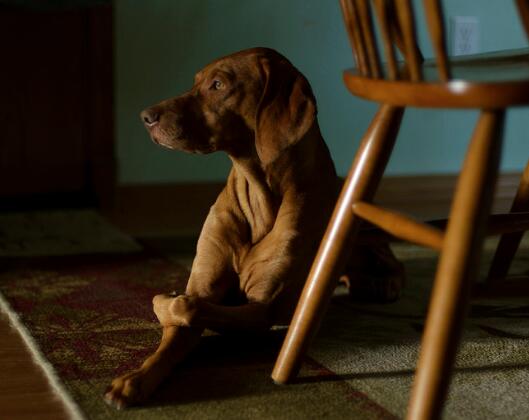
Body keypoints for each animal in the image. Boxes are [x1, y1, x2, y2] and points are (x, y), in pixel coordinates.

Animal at [104, 47, 404, 408]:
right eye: (197, 82)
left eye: (218, 85)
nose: (146, 117)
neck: (259, 193)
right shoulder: (205, 288)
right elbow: (178, 329)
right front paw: (134, 379)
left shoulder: (264, 311)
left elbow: (188, 307)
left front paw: (164, 301)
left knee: (389, 258)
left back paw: (381, 282)